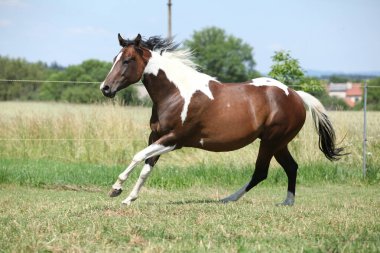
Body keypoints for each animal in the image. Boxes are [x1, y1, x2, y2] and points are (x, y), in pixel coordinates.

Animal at [99, 33, 346, 206]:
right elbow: (146, 168)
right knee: (291, 167)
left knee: (261, 172)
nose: (105, 88)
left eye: (128, 60)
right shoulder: (157, 136)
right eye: (115, 59)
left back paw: (228, 199)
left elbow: (138, 156)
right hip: (278, 143)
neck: (176, 94)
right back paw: (286, 202)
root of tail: (295, 94)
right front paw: (128, 198)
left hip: (271, 141)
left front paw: (115, 188)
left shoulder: (174, 140)